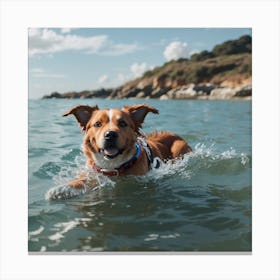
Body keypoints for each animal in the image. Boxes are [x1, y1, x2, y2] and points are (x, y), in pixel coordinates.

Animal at [46, 103, 192, 199]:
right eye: (97, 124)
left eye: (123, 123)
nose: (110, 135)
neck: (112, 166)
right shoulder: (92, 172)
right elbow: (82, 181)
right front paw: (61, 189)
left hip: (179, 147)